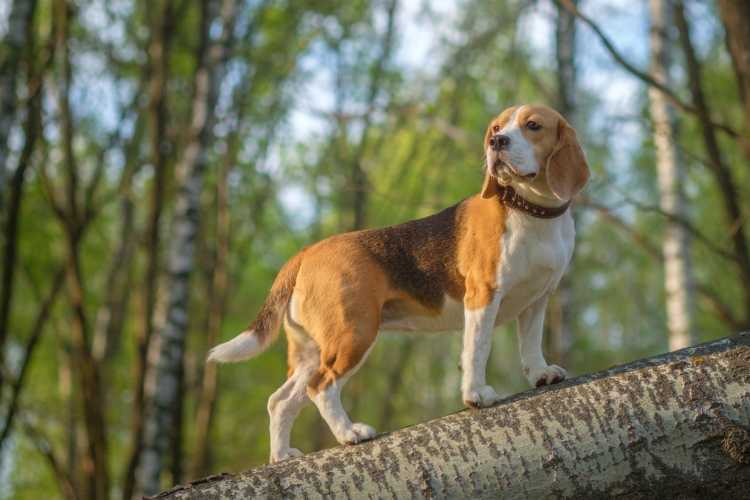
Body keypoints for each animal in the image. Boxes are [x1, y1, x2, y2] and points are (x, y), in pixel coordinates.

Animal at [209, 104, 592, 460]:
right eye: (496, 128)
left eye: (533, 125)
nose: (496, 143)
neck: (531, 210)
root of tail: (305, 253)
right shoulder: (483, 296)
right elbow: (478, 349)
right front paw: (476, 395)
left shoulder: (538, 298)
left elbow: (531, 344)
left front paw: (540, 374)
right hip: (355, 333)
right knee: (321, 388)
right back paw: (349, 432)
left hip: (312, 350)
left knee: (281, 400)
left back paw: (281, 455)